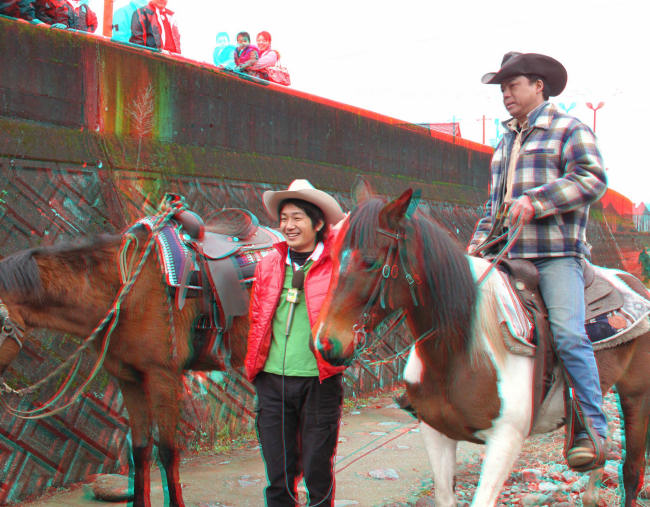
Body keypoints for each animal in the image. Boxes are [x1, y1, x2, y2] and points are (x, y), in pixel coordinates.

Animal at [314, 180, 650, 506]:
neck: (458, 354)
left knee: (632, 470)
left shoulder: (506, 439)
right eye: (330, 256)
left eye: (370, 261)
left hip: (635, 395)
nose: (325, 343)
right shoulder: (436, 432)